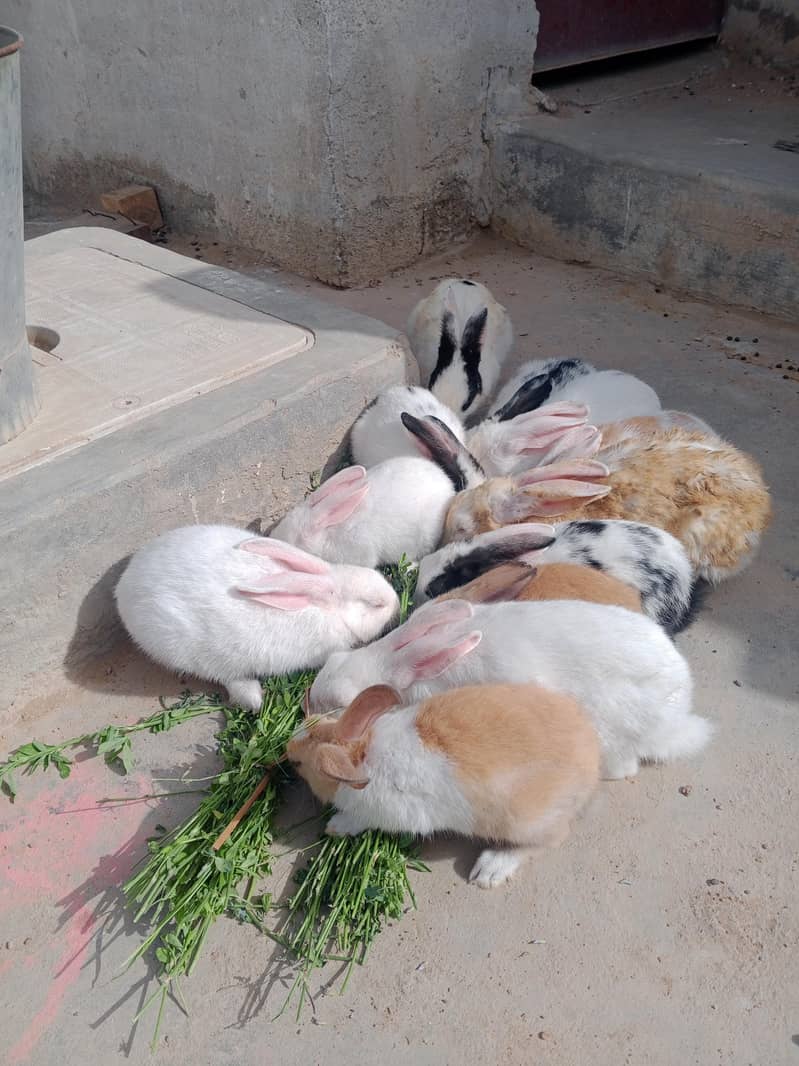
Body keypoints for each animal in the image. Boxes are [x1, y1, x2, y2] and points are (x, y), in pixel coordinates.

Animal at [114, 525, 399, 713]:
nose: (396, 602)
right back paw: (254, 699)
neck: (330, 608)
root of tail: (124, 588)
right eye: (375, 604)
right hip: (196, 655)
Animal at [288, 681, 599, 888]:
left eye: (299, 764)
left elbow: (360, 820)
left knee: (551, 838)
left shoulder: (388, 815)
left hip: (525, 823)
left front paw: (336, 826)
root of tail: (592, 763)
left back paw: (489, 870)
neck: (363, 754)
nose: (287, 750)